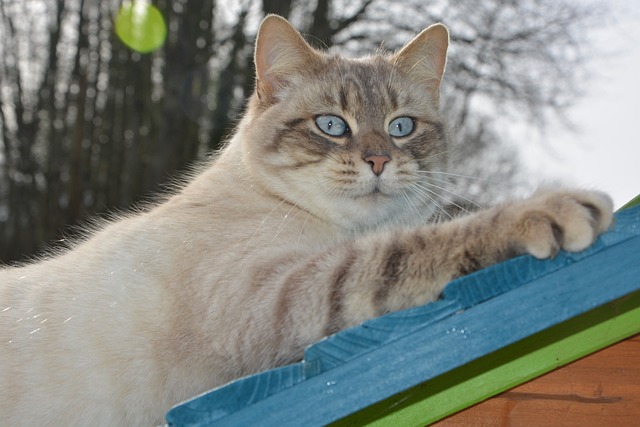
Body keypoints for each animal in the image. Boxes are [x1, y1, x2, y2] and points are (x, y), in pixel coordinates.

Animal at [0, 14, 616, 427]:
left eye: (400, 127)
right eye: (331, 125)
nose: (378, 161)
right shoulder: (283, 296)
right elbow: (414, 248)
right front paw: (560, 208)